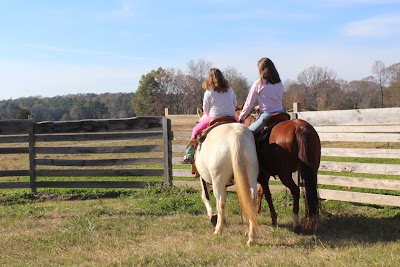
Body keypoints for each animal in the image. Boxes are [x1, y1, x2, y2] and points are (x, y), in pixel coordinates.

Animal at [195, 110, 260, 247]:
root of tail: (235, 134)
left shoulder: (204, 180)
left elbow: (205, 197)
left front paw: (213, 217)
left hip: (217, 180)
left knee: (221, 201)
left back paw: (218, 230)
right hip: (251, 176)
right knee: (250, 200)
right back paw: (251, 237)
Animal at [236, 104, 320, 234]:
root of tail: (299, 128)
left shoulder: (260, 176)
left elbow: (266, 194)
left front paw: (273, 218)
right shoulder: (265, 175)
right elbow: (261, 192)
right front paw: (257, 212)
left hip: (284, 175)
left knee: (295, 190)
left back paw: (296, 223)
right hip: (312, 171)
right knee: (310, 192)